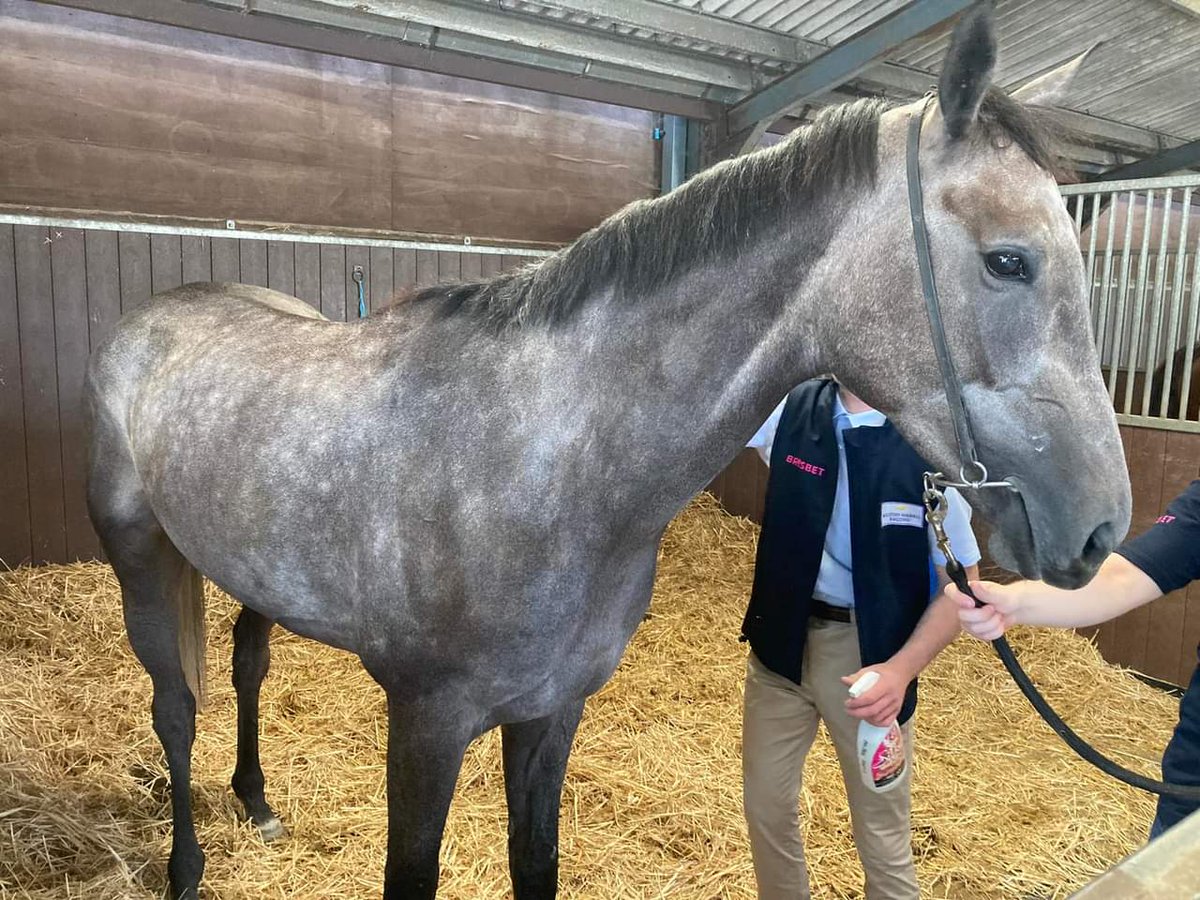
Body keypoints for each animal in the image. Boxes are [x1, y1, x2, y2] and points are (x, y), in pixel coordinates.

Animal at [84, 5, 1123, 897]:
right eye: (1008, 260)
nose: (1101, 526)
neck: (545, 461)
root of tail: (152, 317)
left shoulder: (552, 714)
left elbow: (533, 865)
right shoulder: (425, 726)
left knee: (246, 663)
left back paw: (256, 801)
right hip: (139, 559)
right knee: (175, 708)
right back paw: (186, 867)